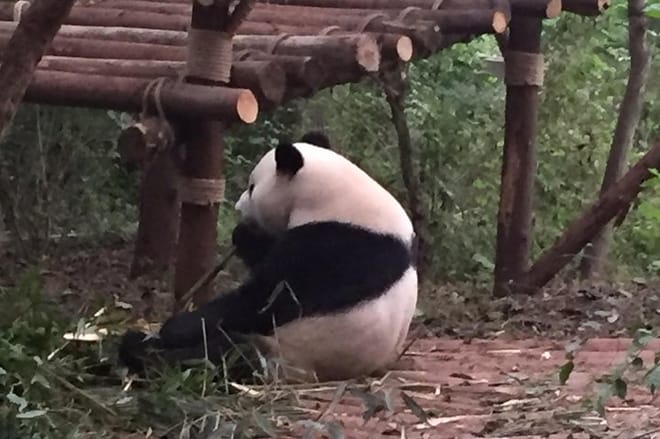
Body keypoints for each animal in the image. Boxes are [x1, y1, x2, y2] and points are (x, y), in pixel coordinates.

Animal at [119, 133, 418, 383]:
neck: (336, 197)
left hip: (286, 353)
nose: (238, 206)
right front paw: (244, 235)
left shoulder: (336, 248)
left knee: (225, 354)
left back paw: (139, 350)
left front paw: (173, 327)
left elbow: (264, 299)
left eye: (252, 187)